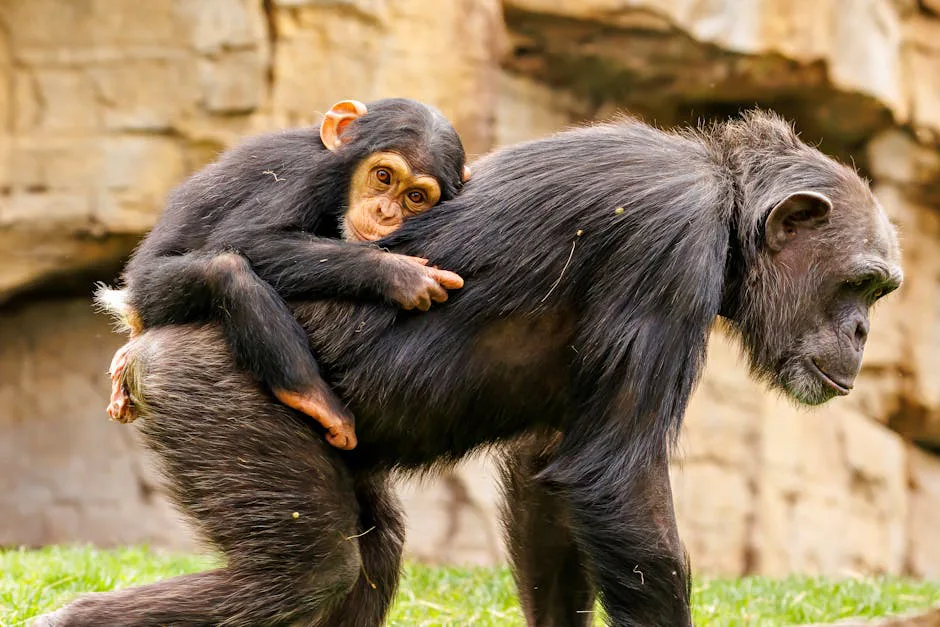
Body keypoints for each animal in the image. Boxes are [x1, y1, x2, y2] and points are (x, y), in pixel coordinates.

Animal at [98, 98, 470, 450]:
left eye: (415, 196)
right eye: (383, 176)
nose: (385, 211)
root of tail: (128, 305)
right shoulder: (300, 178)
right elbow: (248, 238)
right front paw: (400, 274)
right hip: (150, 290)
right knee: (227, 270)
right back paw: (311, 397)